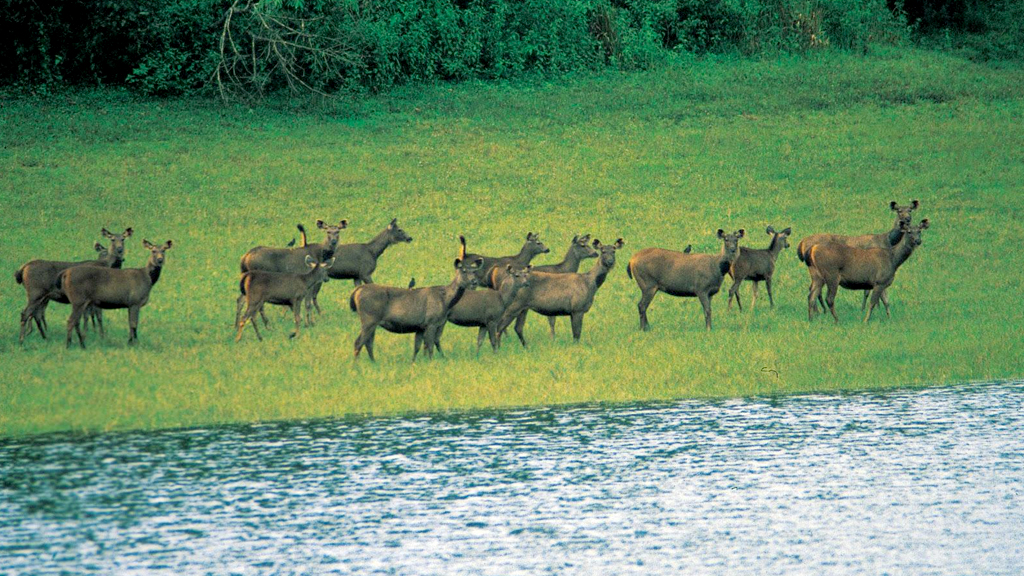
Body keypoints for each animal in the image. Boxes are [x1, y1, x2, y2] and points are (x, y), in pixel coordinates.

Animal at [348, 255, 483, 358]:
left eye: (474, 271)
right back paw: (356, 367)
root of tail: (356, 292)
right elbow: (429, 346)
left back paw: (373, 362)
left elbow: (417, 347)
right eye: (463, 271)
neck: (446, 301)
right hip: (369, 318)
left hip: (372, 321)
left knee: (368, 343)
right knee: (358, 342)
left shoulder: (421, 326)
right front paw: (431, 362)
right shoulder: (431, 322)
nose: (474, 282)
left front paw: (414, 362)